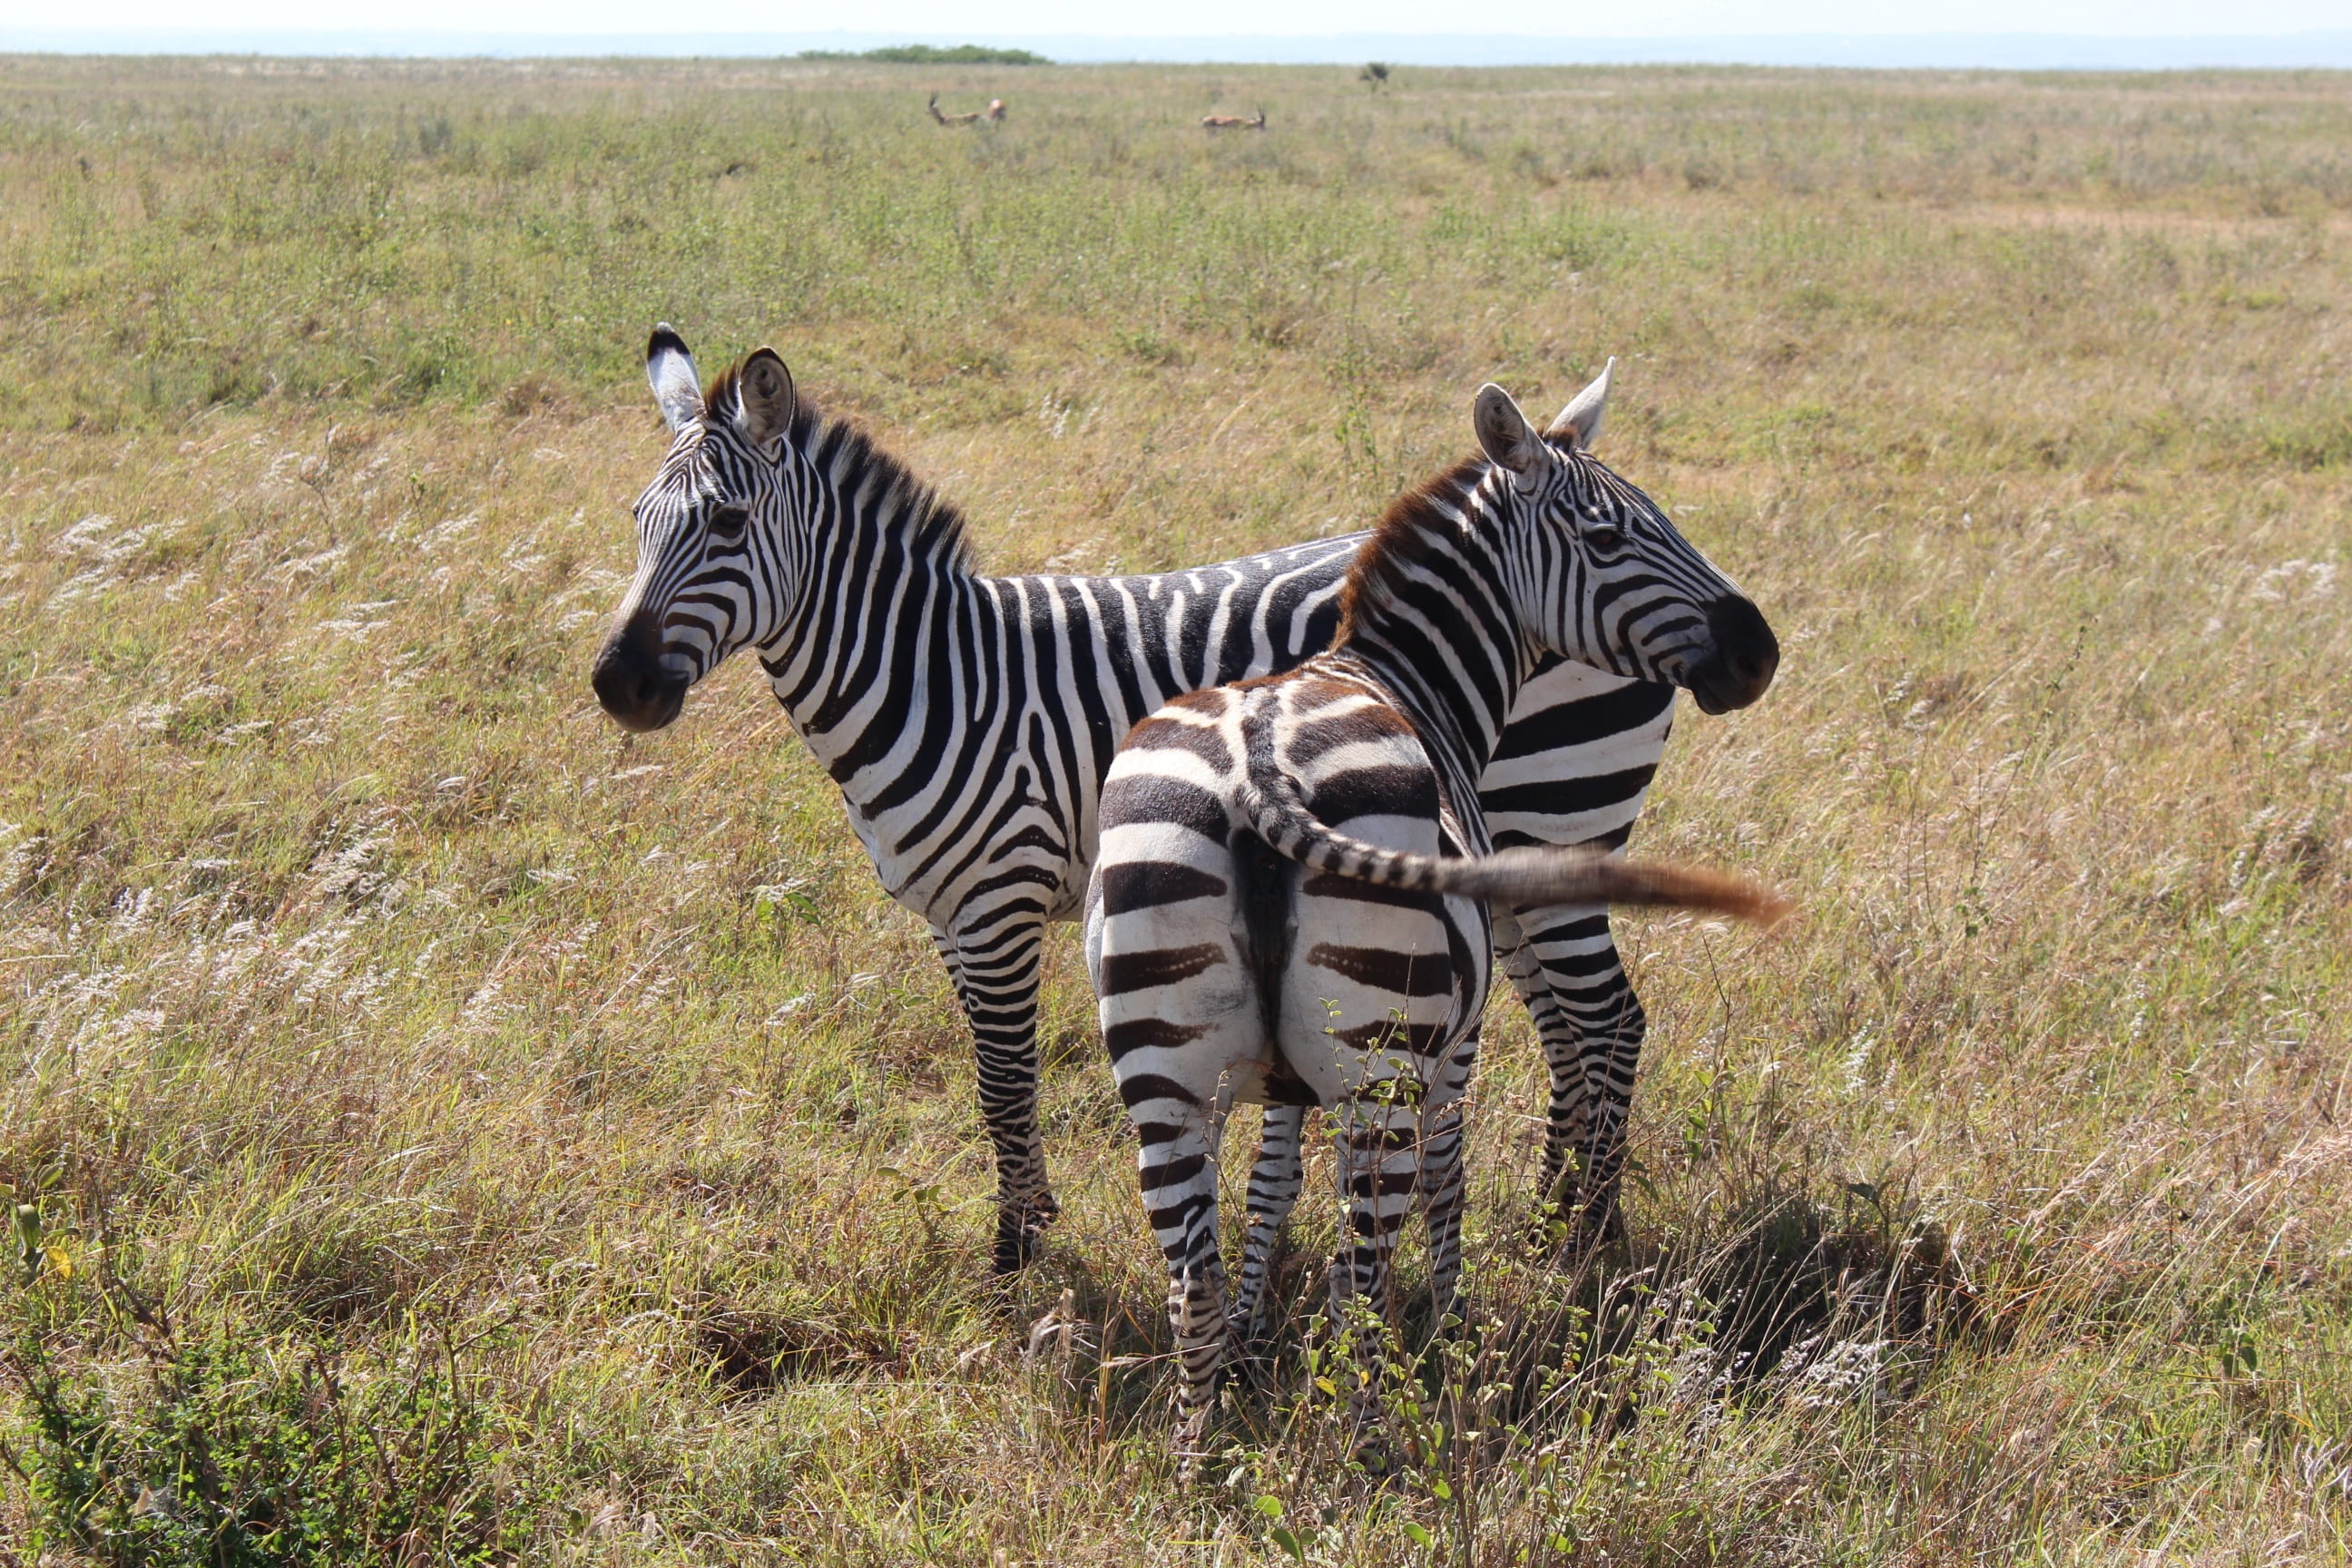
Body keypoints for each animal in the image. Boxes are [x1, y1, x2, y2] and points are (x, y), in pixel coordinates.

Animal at [589, 326, 1780, 1275]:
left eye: (729, 524)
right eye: (640, 520)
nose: (618, 684)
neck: (935, 672)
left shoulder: (1001, 902)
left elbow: (1005, 1082)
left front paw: (1017, 1260)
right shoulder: (949, 915)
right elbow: (991, 1080)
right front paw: (1031, 1227)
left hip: (1555, 810)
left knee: (1607, 1018)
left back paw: (1585, 1236)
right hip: (1507, 857)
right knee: (1574, 1027)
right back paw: (1554, 1220)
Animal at [1083, 380, 1784, 1448]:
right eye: (1609, 536)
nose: (1760, 653)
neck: (1403, 679)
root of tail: (1255, 773)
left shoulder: (1292, 1076)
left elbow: (1271, 1181)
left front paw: (1252, 1332)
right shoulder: (1454, 1042)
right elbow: (1448, 1179)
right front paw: (1452, 1321)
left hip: (1158, 1065)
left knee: (1190, 1283)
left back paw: (1198, 1455)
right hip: (1380, 1061)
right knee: (1361, 1269)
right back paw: (1372, 1437)